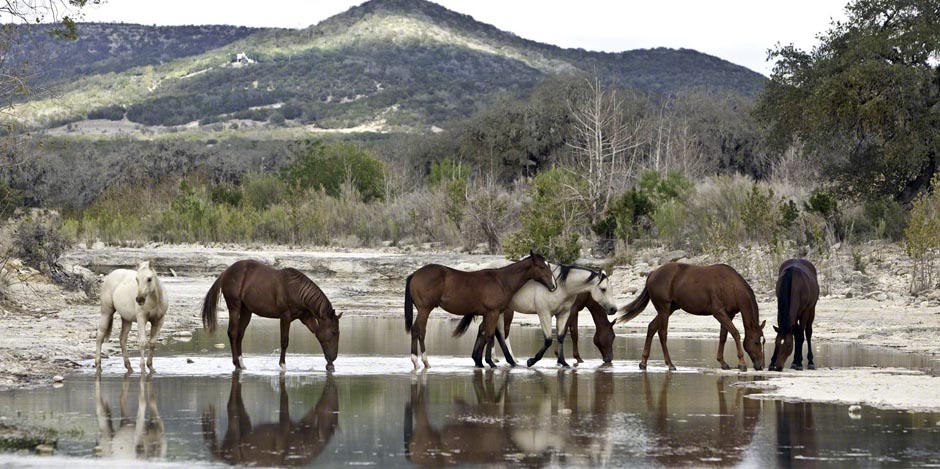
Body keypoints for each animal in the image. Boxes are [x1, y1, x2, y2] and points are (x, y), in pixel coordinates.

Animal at [201, 258, 342, 372]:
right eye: (334, 332)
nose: (334, 357)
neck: (296, 290)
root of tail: (226, 272)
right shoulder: (285, 317)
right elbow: (284, 341)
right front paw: (283, 364)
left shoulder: (306, 318)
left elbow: (319, 335)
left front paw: (330, 364)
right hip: (234, 307)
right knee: (233, 333)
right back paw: (236, 363)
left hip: (246, 311)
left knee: (240, 334)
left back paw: (241, 363)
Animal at [202, 372, 342, 466]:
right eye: (331, 409)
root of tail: (222, 456)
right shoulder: (285, 427)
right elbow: (284, 402)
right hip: (234, 433)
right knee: (232, 408)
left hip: (244, 428)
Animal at [402, 250, 552, 368]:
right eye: (541, 267)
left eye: (548, 266)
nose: (552, 285)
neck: (501, 281)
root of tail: (415, 274)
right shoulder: (493, 312)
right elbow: (490, 334)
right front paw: (490, 362)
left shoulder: (487, 314)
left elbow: (484, 332)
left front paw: (479, 361)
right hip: (424, 310)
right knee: (419, 330)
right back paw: (422, 361)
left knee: (417, 330)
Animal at [456, 264, 616, 366]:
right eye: (603, 289)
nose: (613, 309)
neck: (562, 286)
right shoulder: (545, 313)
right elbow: (550, 339)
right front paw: (532, 361)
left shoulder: (563, 314)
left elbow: (561, 336)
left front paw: (563, 361)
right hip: (503, 312)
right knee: (500, 332)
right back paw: (507, 360)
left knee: (489, 331)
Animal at [616, 264, 764, 370]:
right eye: (756, 342)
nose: (760, 365)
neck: (730, 285)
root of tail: (653, 273)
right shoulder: (719, 313)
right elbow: (735, 333)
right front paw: (742, 363)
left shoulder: (729, 315)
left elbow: (723, 336)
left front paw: (722, 362)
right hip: (664, 310)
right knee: (662, 333)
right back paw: (670, 364)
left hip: (668, 310)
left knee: (651, 327)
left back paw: (643, 362)